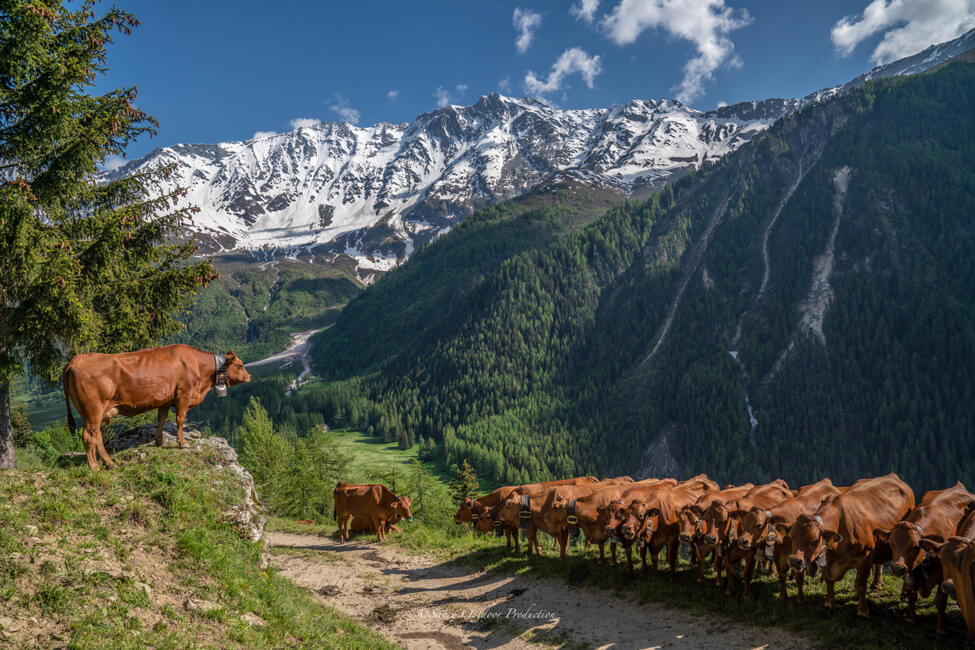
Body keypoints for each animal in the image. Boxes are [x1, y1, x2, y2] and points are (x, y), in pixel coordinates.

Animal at [62, 342, 250, 468]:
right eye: (240, 365)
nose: (249, 377)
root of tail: (76, 359)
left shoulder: (165, 399)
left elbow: (162, 419)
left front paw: (159, 441)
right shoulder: (183, 394)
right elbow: (180, 419)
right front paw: (182, 443)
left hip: (94, 413)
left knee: (97, 436)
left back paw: (110, 463)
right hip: (93, 410)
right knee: (89, 436)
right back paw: (94, 467)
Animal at [784, 470, 916, 612]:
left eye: (814, 540)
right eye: (792, 536)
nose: (793, 560)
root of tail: (893, 476)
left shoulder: (866, 558)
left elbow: (860, 585)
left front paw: (862, 610)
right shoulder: (827, 558)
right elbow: (828, 580)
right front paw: (830, 603)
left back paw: (902, 592)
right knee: (879, 563)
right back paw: (876, 584)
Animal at [876, 478, 975, 620]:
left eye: (915, 547)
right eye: (891, 544)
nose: (896, 568)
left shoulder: (943, 573)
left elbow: (940, 600)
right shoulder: (910, 572)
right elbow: (912, 594)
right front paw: (910, 617)